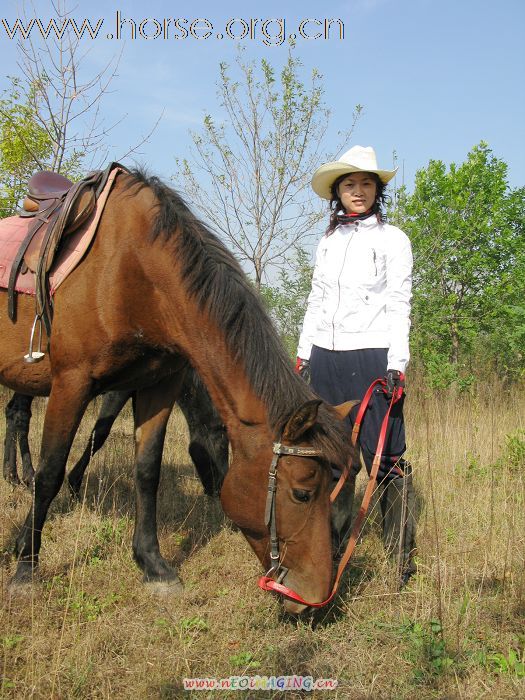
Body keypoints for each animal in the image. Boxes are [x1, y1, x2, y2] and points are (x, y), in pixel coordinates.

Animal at [2, 372, 227, 498]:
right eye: (221, 441)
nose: (220, 491)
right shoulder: (119, 391)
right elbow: (100, 432)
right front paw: (74, 483)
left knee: (13, 411)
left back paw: (11, 475)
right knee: (21, 414)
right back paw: (27, 474)